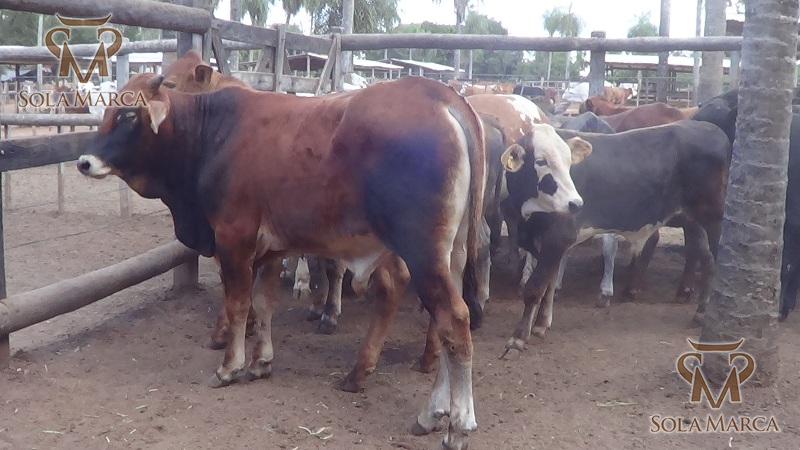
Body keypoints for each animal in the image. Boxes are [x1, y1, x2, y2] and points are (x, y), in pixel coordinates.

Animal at [500, 120, 731, 356]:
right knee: (707, 261)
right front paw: (541, 324)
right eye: (541, 161)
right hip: (693, 222)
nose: (575, 203)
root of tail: (710, 128)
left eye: (568, 161)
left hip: (714, 218)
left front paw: (518, 338)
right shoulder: (544, 245)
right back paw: (700, 312)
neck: (527, 214)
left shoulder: (557, 239)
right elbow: (549, 284)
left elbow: (535, 288)